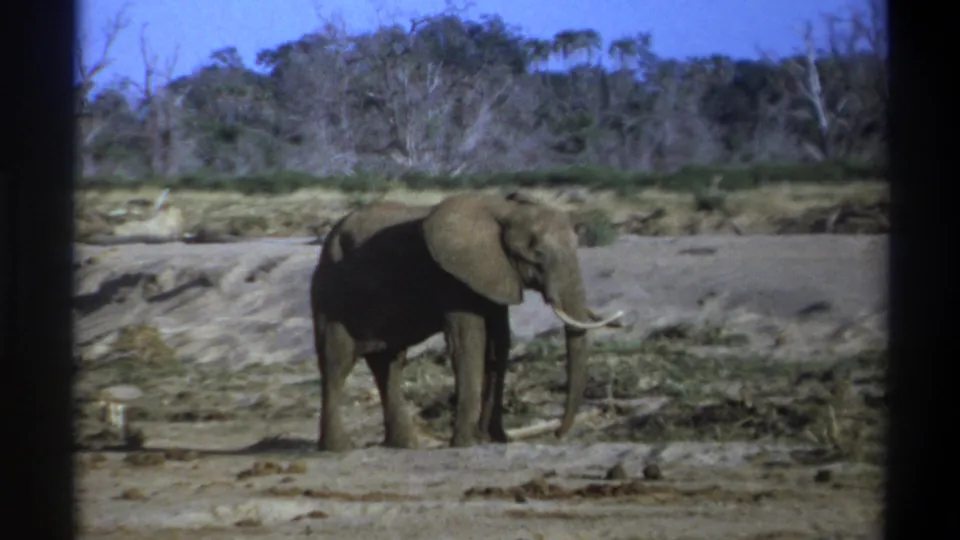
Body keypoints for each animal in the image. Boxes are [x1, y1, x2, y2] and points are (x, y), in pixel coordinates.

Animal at [309, 192, 623, 451]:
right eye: (538, 256)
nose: (558, 434)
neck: (503, 211)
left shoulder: (494, 276)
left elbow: (499, 345)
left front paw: (494, 438)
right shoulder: (453, 278)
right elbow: (469, 343)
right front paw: (468, 442)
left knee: (389, 363)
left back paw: (403, 445)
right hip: (330, 294)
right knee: (337, 362)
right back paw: (338, 448)